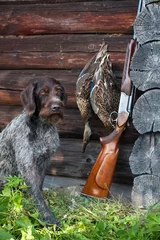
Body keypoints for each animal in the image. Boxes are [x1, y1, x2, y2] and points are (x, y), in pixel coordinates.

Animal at [0, 78, 67, 226]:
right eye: (43, 92)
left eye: (59, 91)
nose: (57, 107)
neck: (43, 127)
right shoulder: (26, 164)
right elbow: (37, 194)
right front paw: (49, 218)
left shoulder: (45, 160)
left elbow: (39, 186)